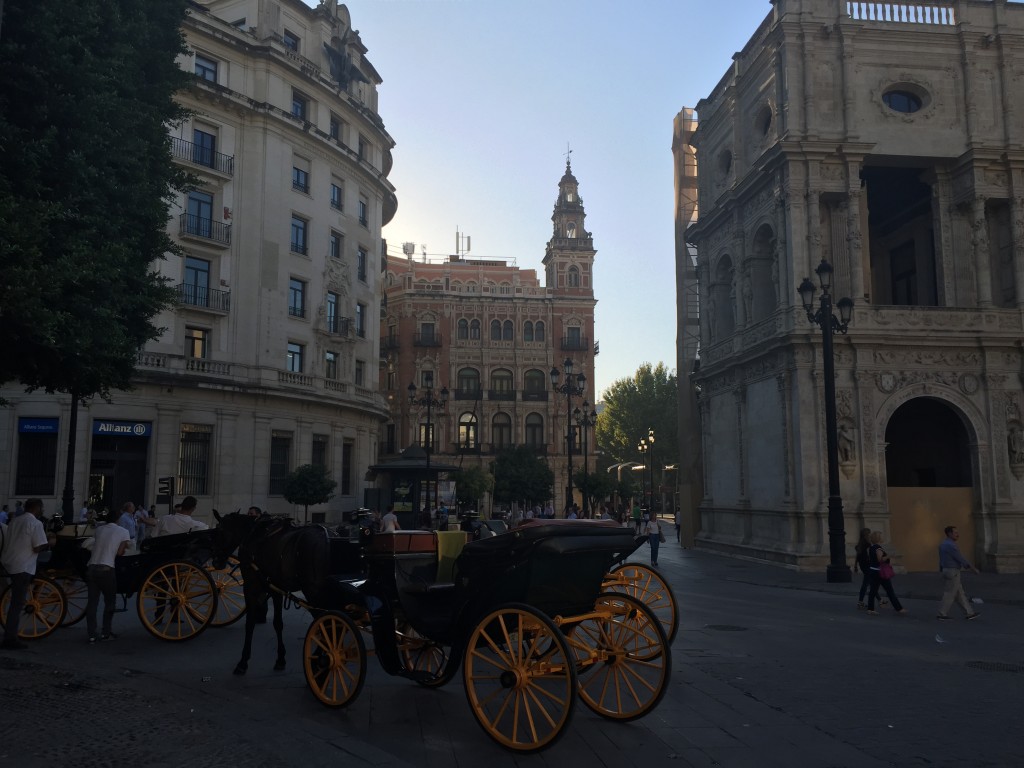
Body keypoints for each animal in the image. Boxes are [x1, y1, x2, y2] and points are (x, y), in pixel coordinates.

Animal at [210, 514, 329, 675]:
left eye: (220, 532)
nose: (216, 562)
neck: (254, 534)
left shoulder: (251, 587)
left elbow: (250, 623)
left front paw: (243, 661)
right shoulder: (276, 589)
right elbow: (278, 624)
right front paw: (280, 658)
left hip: (313, 592)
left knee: (325, 622)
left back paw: (318, 659)